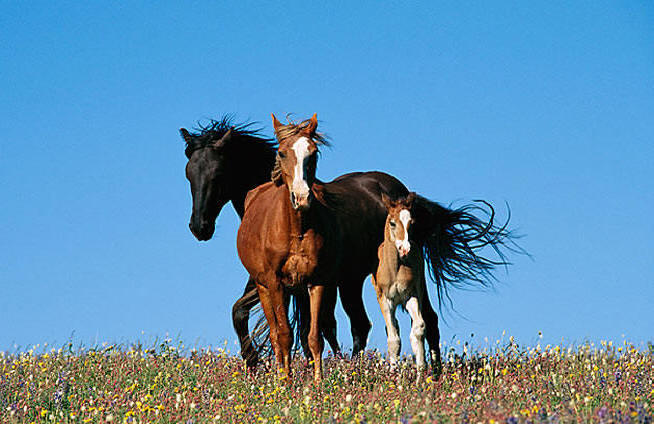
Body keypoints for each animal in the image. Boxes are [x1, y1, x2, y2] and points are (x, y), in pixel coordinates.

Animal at [376, 192, 434, 380]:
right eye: (393, 223)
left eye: (411, 223)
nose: (405, 249)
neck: (395, 268)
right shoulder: (385, 299)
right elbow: (394, 338)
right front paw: (393, 376)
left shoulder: (411, 295)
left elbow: (419, 328)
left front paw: (421, 375)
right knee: (393, 328)